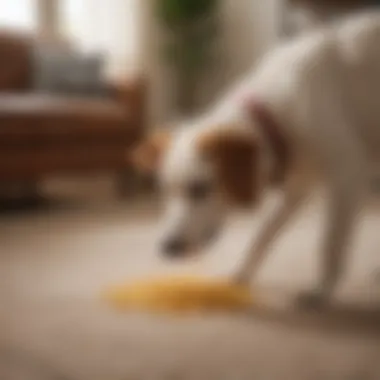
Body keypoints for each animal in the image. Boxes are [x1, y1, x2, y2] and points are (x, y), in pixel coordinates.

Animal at [132, 11, 380, 308]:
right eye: (164, 191)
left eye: (200, 189)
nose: (167, 248)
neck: (279, 113)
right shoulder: (295, 186)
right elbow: (261, 235)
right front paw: (238, 274)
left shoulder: (347, 173)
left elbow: (330, 243)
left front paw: (320, 291)